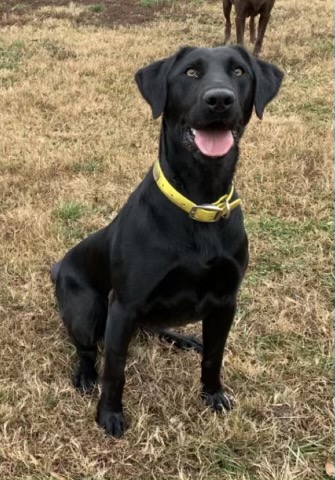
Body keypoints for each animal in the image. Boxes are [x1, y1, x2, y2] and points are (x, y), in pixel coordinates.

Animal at [51, 46, 284, 438]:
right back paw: (85, 376)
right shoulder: (124, 306)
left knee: (155, 327)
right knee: (86, 348)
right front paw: (109, 415)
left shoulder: (226, 302)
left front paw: (213, 395)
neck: (200, 203)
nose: (219, 99)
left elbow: (214, 356)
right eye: (190, 73)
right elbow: (115, 368)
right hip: (86, 307)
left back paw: (184, 339)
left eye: (239, 71)